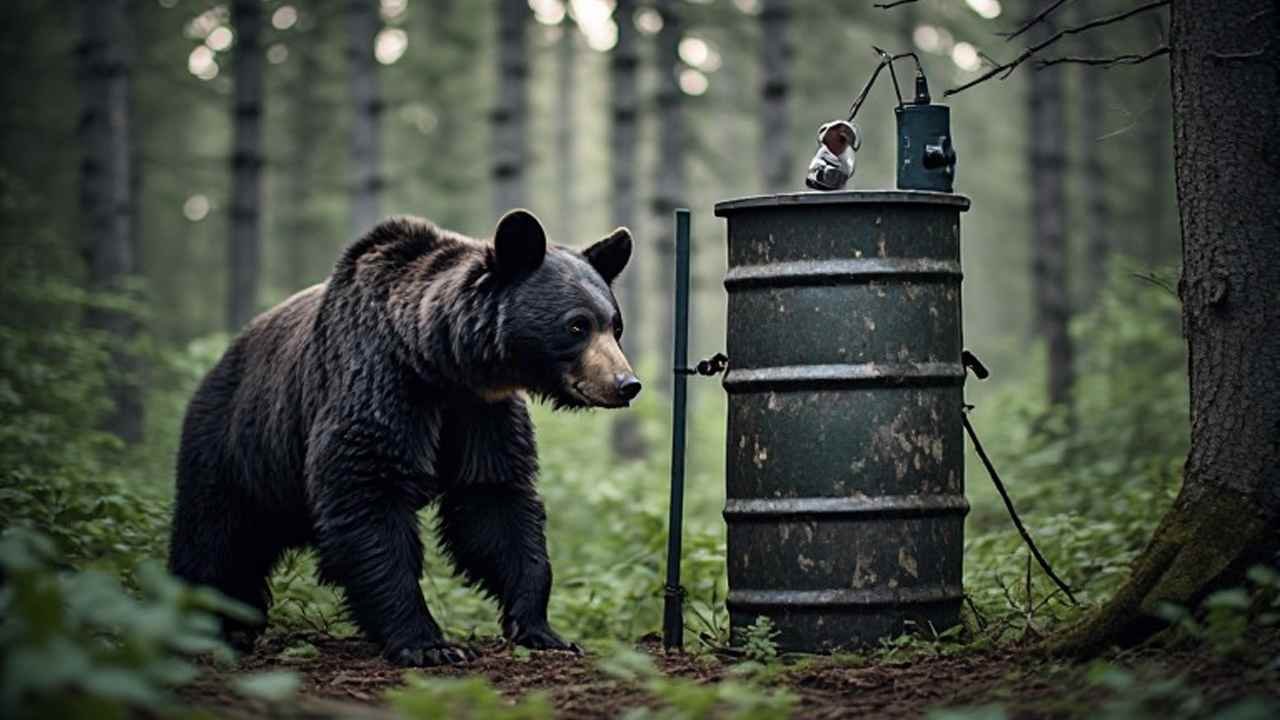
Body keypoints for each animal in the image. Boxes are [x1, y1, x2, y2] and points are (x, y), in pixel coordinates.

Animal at [168, 210, 640, 666]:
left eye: (615, 326)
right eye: (577, 325)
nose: (626, 384)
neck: (438, 360)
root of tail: (216, 364)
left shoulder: (480, 413)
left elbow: (494, 504)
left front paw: (541, 629)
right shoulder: (379, 383)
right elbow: (369, 496)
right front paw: (429, 644)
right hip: (233, 446)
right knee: (213, 538)